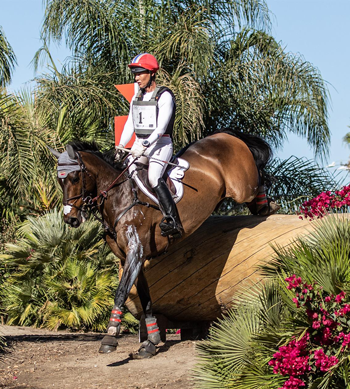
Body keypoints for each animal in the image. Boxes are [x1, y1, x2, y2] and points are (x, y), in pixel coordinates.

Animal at [49, 130, 274, 358]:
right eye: (60, 181)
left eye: (75, 177)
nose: (71, 219)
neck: (119, 197)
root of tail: (225, 135)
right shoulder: (133, 258)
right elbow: (146, 298)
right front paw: (152, 341)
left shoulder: (135, 253)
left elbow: (121, 292)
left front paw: (110, 337)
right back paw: (262, 207)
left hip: (242, 187)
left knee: (260, 177)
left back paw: (267, 206)